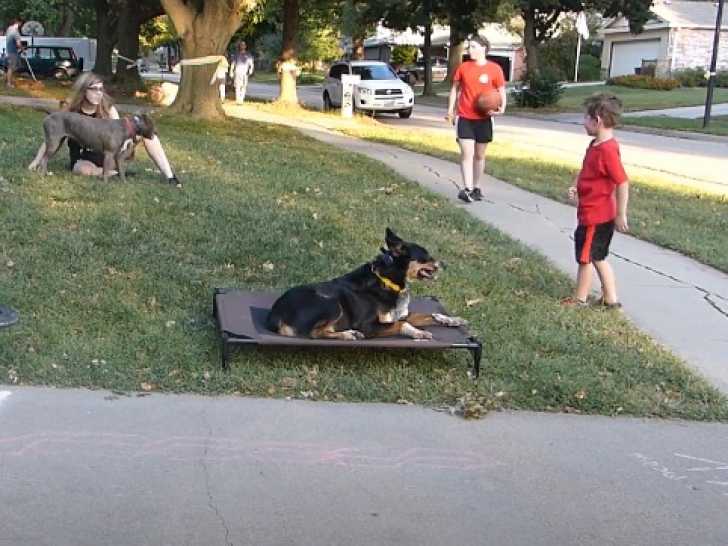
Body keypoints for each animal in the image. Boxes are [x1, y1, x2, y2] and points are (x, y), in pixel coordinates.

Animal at [266, 228, 467, 341]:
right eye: (426, 257)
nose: (444, 264)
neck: (388, 281)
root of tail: (274, 316)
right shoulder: (369, 326)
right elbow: (402, 325)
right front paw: (418, 332)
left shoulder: (400, 315)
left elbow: (430, 314)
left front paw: (452, 319)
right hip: (332, 304)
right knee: (315, 333)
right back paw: (348, 334)